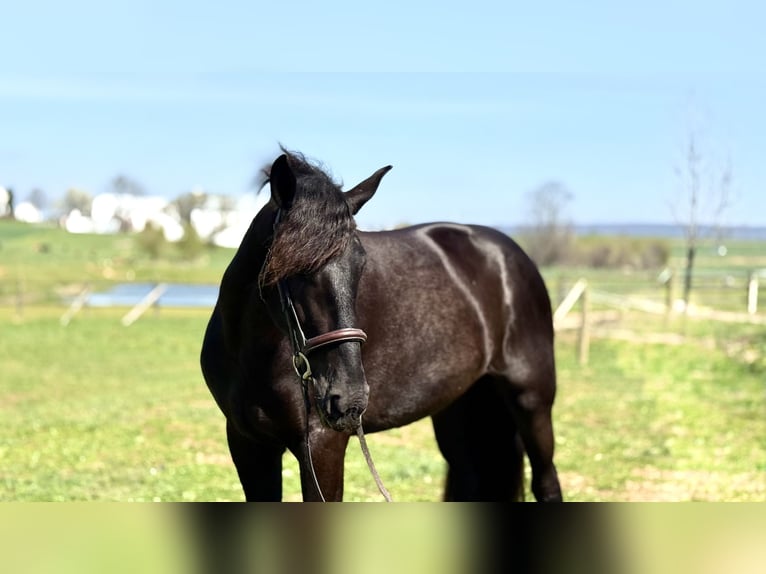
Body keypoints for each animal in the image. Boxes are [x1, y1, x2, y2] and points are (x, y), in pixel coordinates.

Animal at [200, 150, 563, 501]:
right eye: (293, 267)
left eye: (361, 263)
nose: (348, 398)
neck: (250, 356)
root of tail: (508, 254)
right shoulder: (248, 445)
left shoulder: (321, 445)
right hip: (457, 408)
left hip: (531, 400)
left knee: (546, 483)